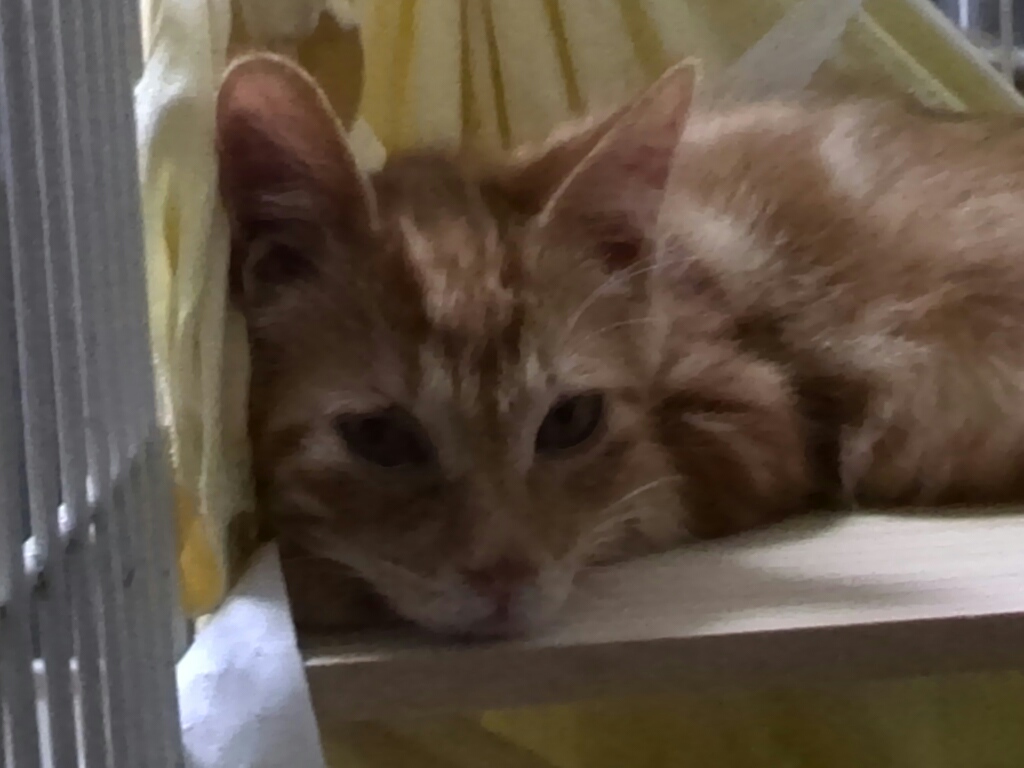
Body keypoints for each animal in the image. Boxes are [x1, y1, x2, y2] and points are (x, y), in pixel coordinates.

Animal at [216, 52, 1024, 637]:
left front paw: (310, 576)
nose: (505, 577)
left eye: (571, 421)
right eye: (379, 436)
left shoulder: (754, 425)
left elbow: (642, 499)